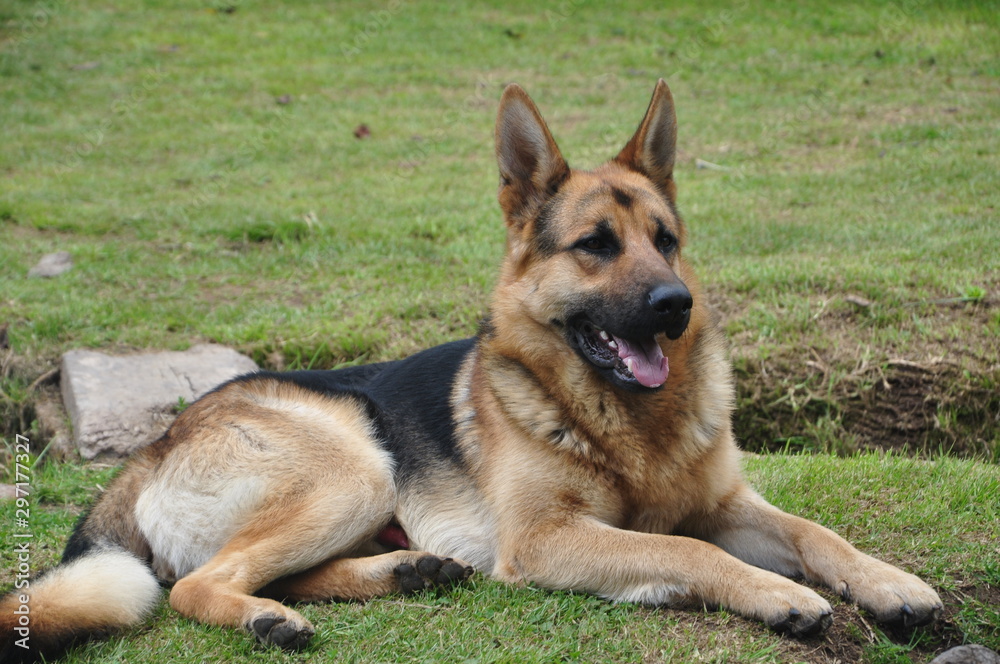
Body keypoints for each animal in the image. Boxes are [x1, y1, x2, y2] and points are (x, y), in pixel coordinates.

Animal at [1, 80, 936, 660]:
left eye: (665, 240)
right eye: (596, 246)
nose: (673, 304)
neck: (632, 424)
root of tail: (157, 443)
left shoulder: (729, 502)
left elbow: (817, 533)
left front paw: (890, 583)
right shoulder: (548, 538)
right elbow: (684, 550)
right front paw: (778, 596)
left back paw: (403, 572)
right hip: (352, 469)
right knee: (199, 583)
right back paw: (269, 617)